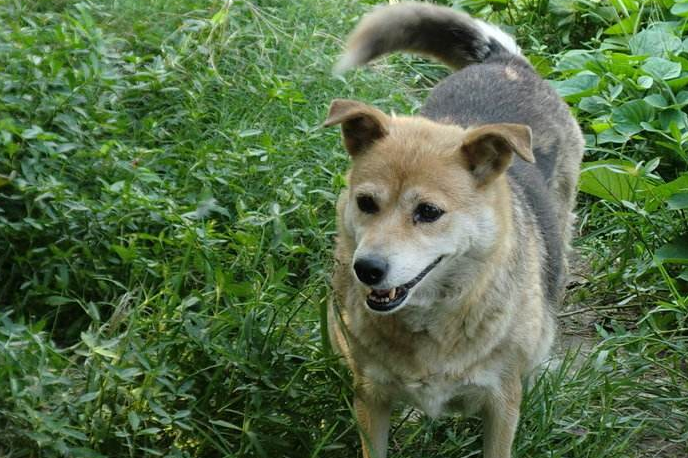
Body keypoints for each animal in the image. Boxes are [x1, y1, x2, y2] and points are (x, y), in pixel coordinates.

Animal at [326, 2, 584, 458]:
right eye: (366, 202)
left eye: (429, 212)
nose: (367, 270)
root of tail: (504, 62)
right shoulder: (370, 396)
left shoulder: (501, 404)